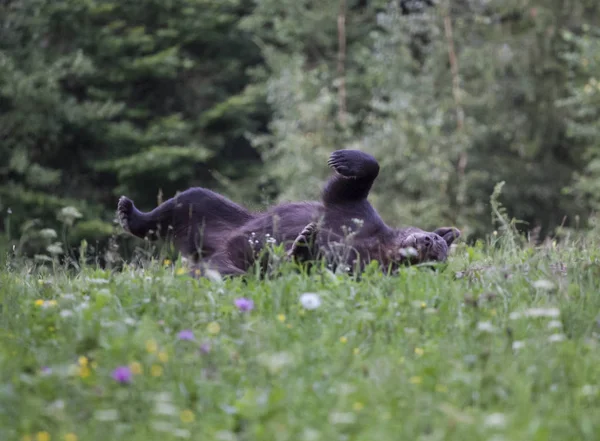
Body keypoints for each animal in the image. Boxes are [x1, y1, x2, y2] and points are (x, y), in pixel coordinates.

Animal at [117, 150, 460, 276]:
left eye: (434, 259)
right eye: (435, 241)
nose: (429, 241)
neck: (383, 246)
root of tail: (203, 250)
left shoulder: (356, 264)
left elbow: (318, 263)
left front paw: (304, 242)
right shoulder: (354, 215)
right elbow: (347, 190)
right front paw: (344, 159)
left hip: (230, 264)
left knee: (227, 274)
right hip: (221, 220)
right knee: (191, 200)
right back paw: (128, 212)